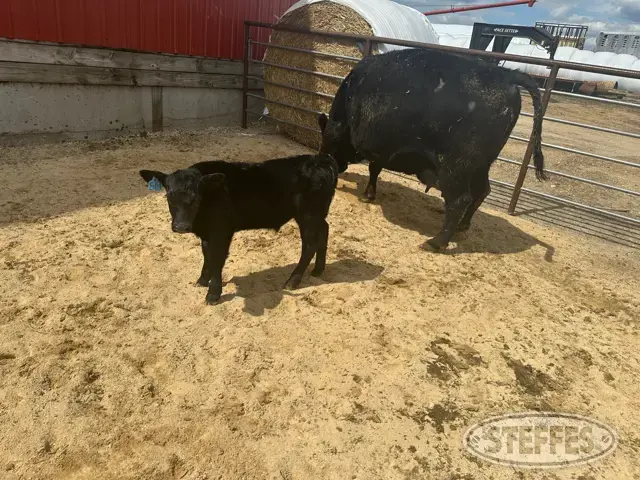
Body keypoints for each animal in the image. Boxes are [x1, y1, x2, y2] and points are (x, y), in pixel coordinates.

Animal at [139, 154, 338, 305]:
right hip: (316, 215)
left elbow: (216, 258)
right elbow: (207, 255)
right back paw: (318, 270)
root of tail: (321, 158)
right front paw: (202, 281)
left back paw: (292, 281)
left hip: (308, 215)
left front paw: (213, 294)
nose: (181, 226)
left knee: (309, 244)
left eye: (196, 198)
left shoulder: (221, 231)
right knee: (325, 231)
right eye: (169, 196)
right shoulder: (207, 233)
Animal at [318, 47, 547, 252]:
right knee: (482, 191)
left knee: (460, 200)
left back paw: (435, 242)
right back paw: (463, 226)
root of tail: (505, 75)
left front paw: (366, 194)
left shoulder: (370, 143)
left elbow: (372, 167)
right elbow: (375, 169)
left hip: (456, 167)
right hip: (481, 165)